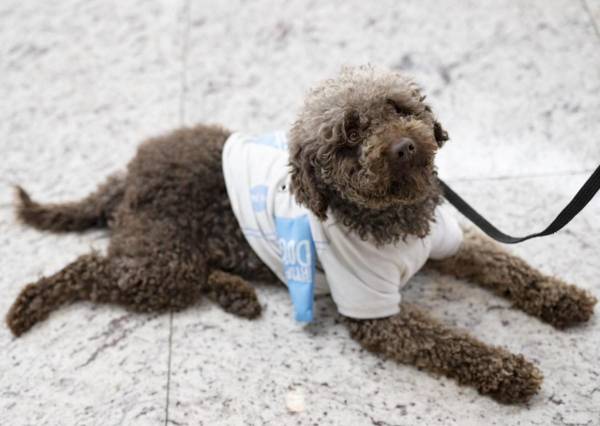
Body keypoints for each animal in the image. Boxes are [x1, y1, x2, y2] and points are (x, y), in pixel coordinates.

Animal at [9, 65, 596, 402]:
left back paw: (237, 294)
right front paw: (509, 371)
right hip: (162, 262)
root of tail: (129, 173)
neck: (398, 221)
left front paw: (561, 298)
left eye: (399, 108)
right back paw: (28, 305)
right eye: (348, 137)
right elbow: (449, 342)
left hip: (174, 256)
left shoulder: (452, 243)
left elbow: (508, 262)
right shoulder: (375, 313)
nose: (404, 147)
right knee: (89, 266)